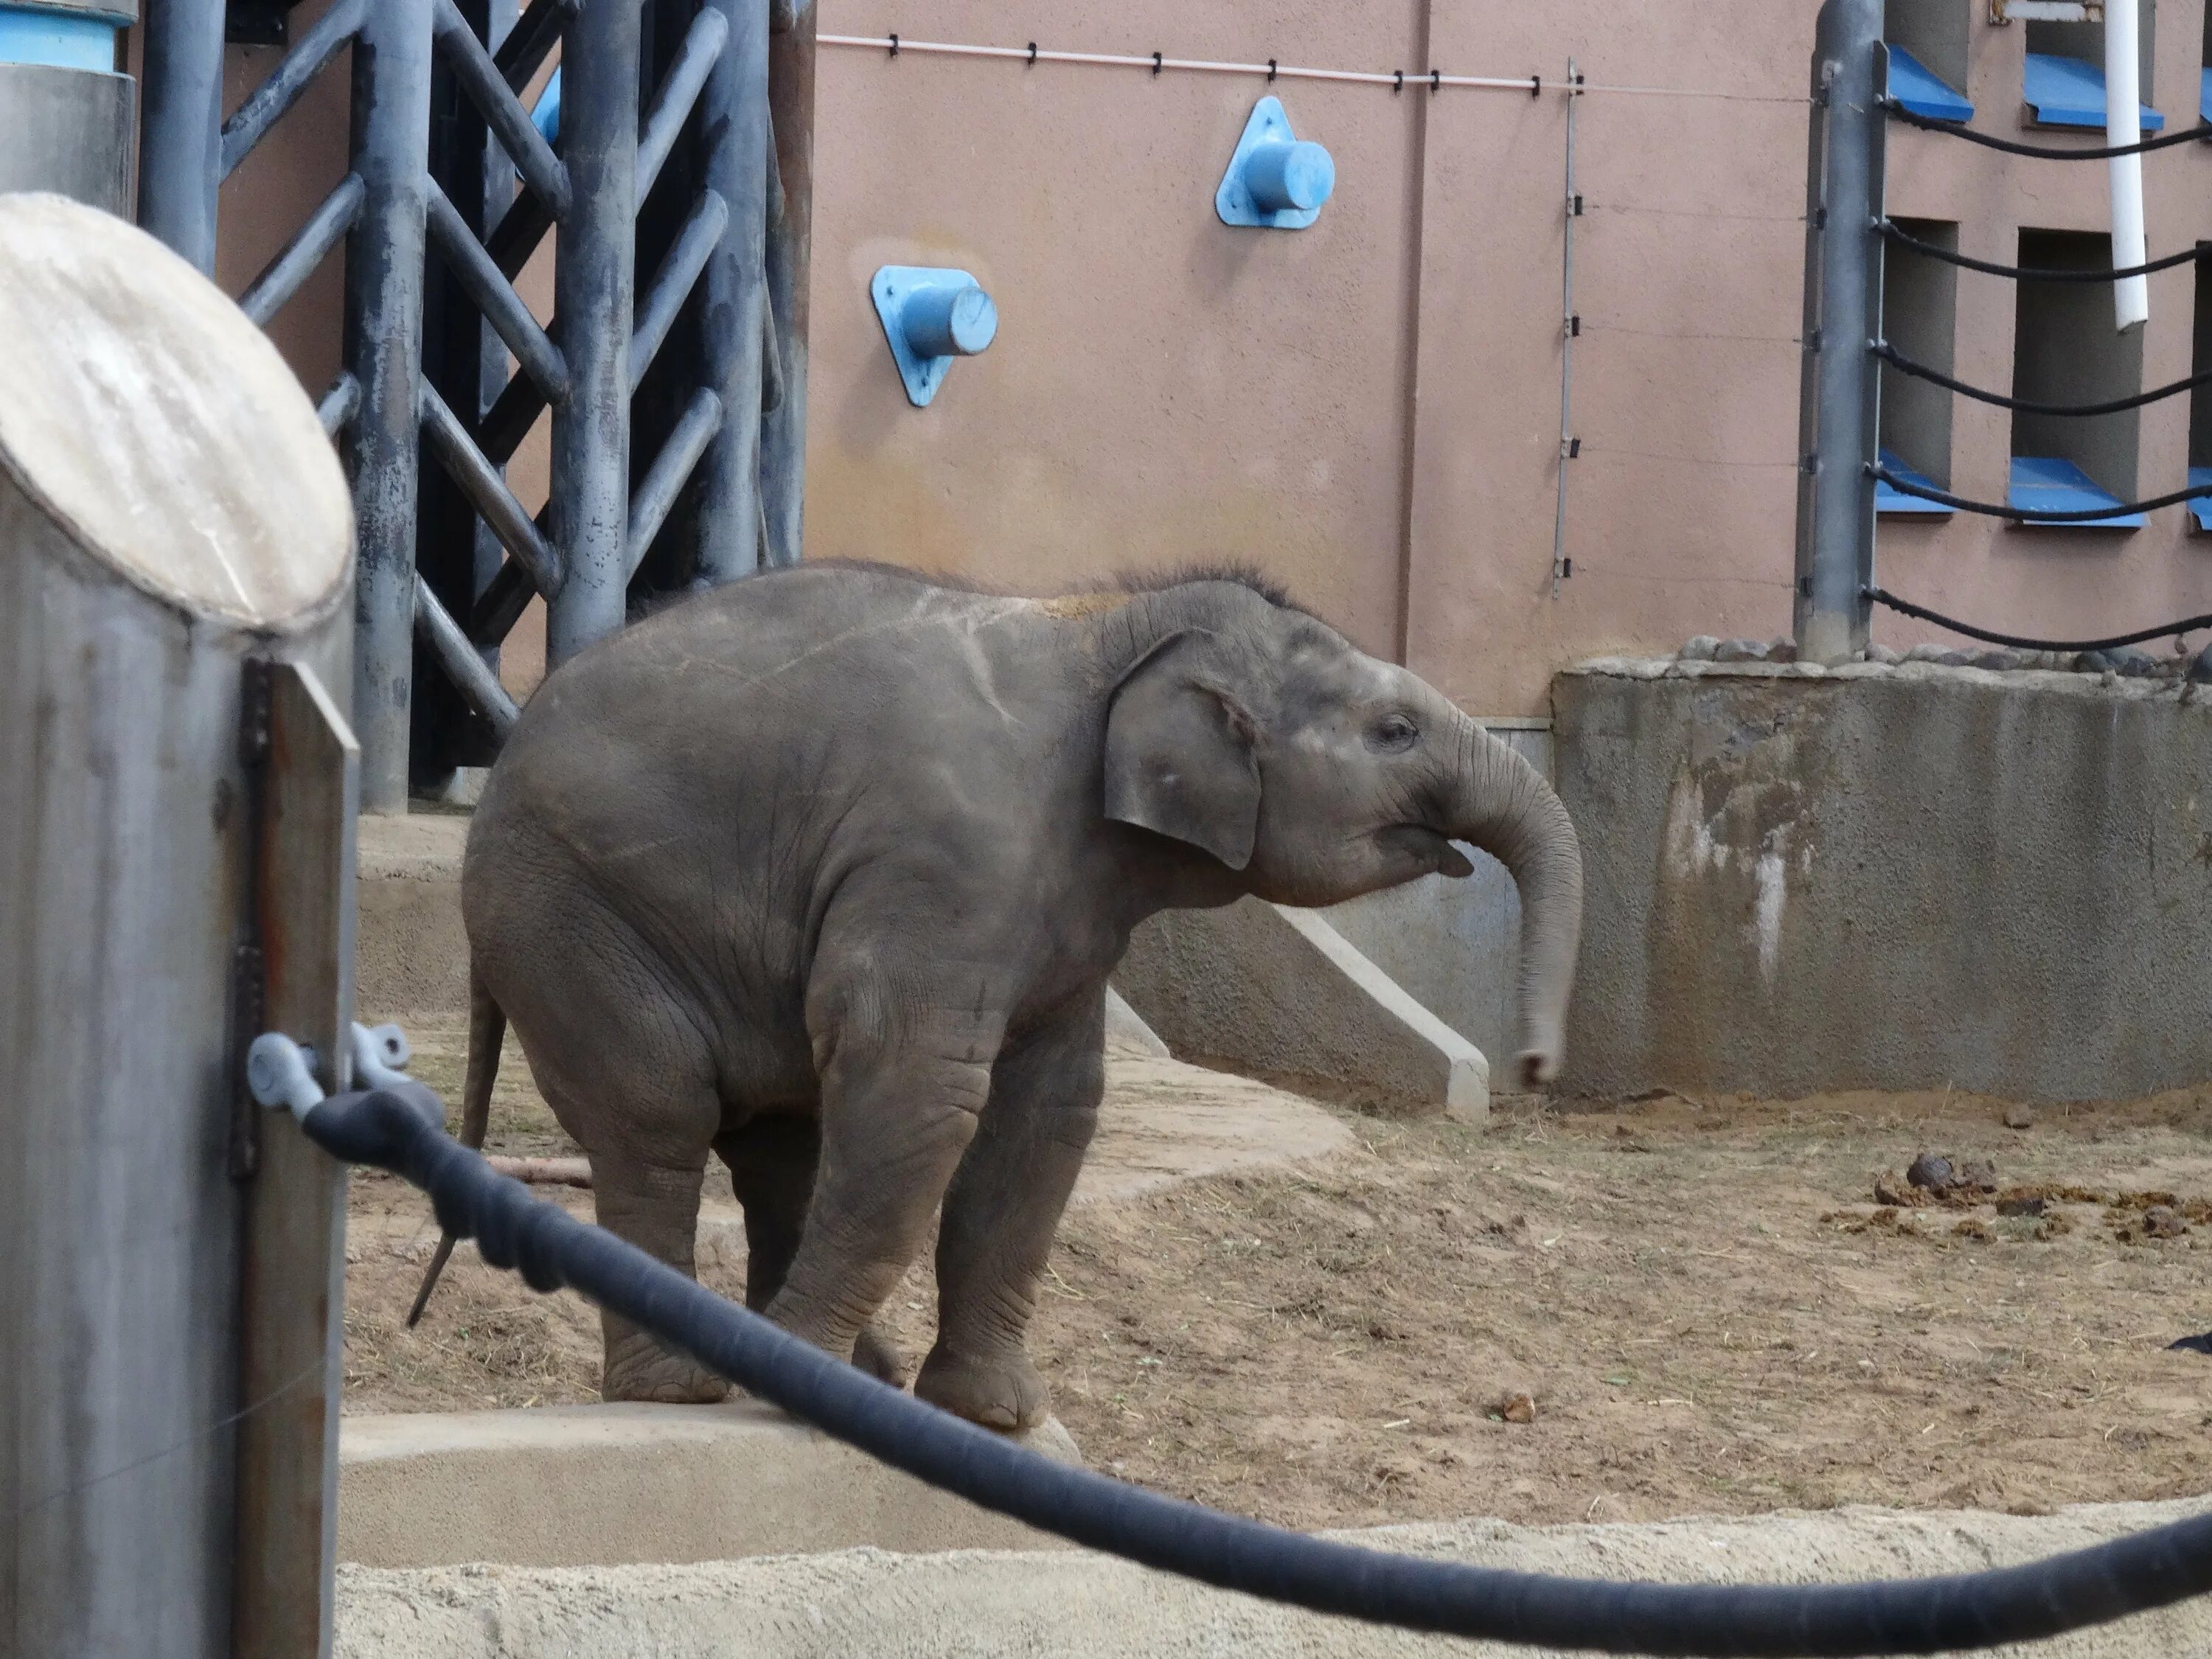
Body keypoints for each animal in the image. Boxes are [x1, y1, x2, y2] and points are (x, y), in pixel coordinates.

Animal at [416, 562, 1584, 1433]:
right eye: (1394, 732)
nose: (1534, 1070)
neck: (1112, 628)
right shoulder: (949, 862)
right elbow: (921, 1090)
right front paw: (836, 1391)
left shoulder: (1071, 905)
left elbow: (1048, 1114)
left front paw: (995, 1416)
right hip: (571, 918)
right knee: (661, 1118)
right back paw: (688, 1387)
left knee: (781, 1138)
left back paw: (835, 1369)